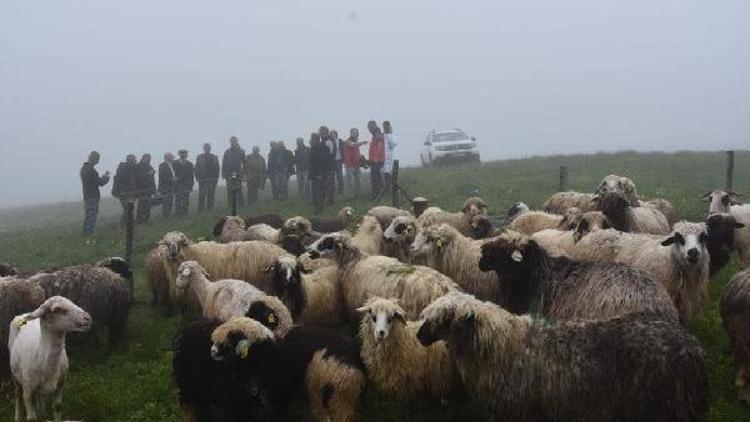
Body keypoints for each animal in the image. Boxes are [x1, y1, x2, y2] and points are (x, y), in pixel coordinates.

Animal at [420, 292, 708, 422]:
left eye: (446, 319)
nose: (419, 335)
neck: (504, 346)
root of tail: (693, 347)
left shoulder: (520, 411)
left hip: (666, 407)